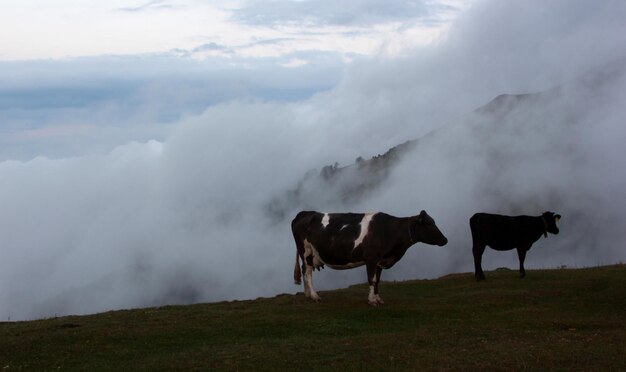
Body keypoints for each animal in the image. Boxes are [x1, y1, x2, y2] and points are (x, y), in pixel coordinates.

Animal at [290, 209, 446, 306]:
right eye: (429, 224)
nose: (445, 240)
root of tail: (305, 213)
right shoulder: (371, 258)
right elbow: (372, 279)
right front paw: (372, 301)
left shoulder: (380, 261)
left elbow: (377, 280)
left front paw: (378, 298)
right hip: (306, 251)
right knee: (308, 273)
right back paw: (315, 296)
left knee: (304, 271)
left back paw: (308, 295)